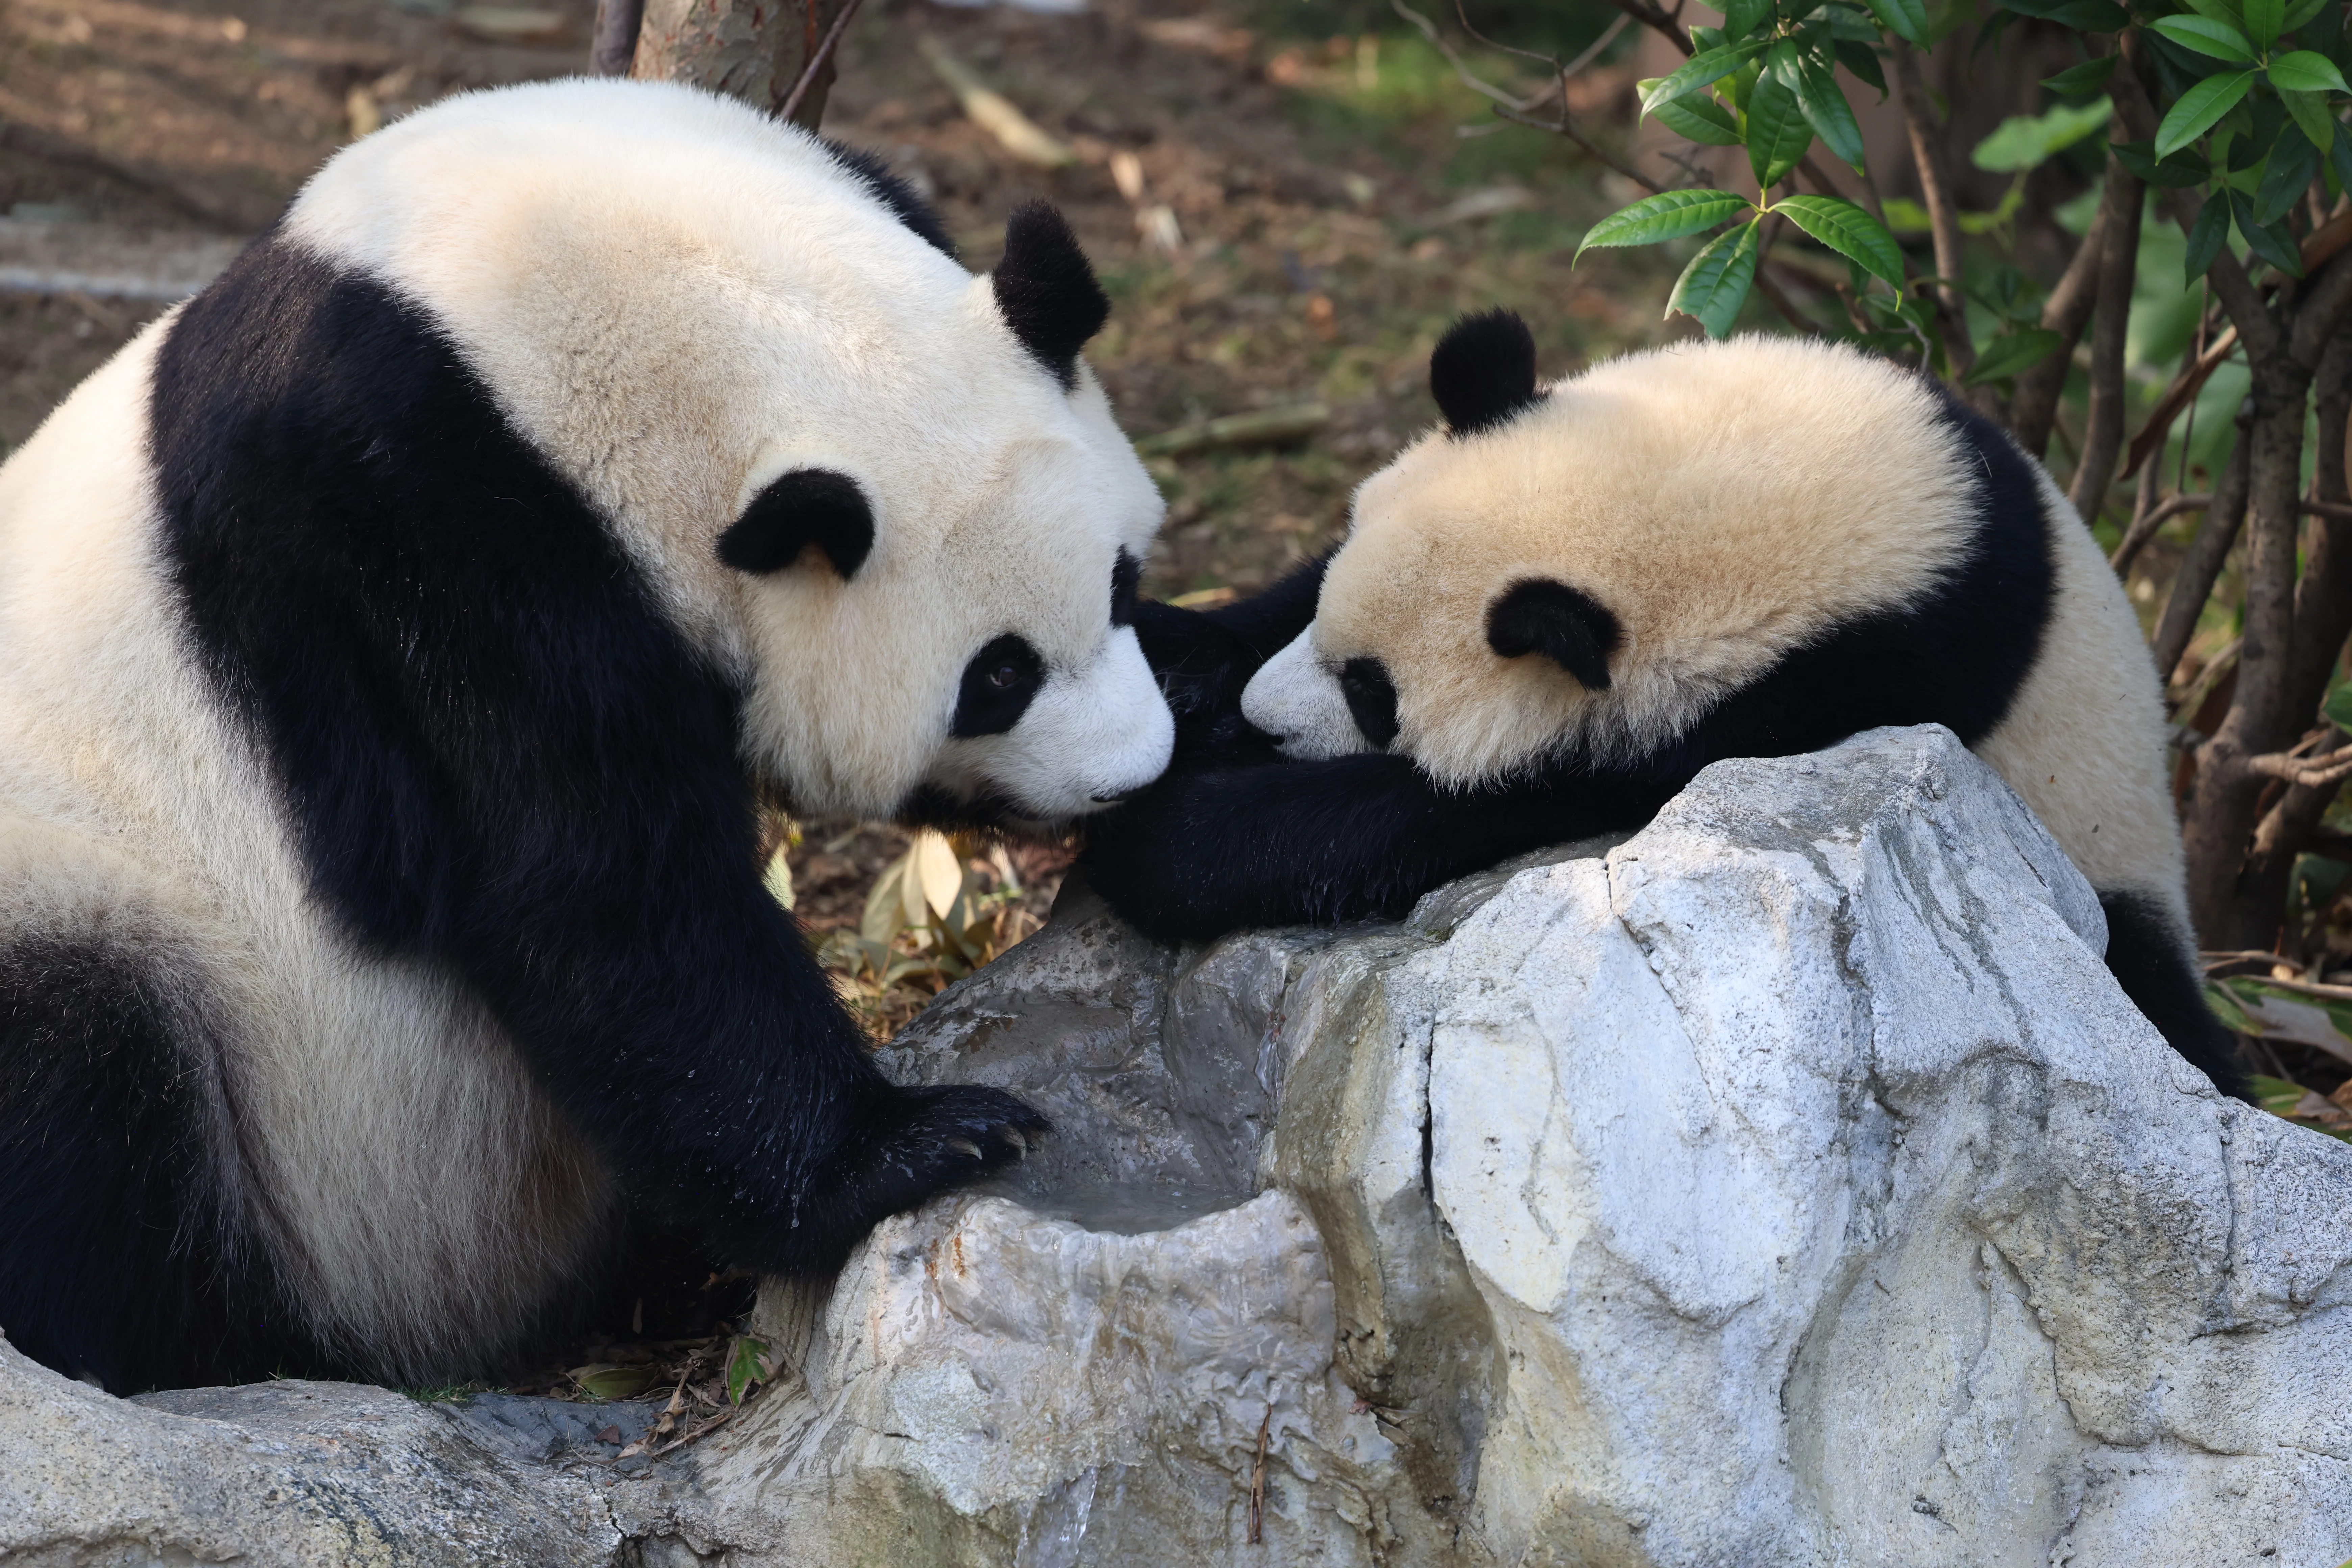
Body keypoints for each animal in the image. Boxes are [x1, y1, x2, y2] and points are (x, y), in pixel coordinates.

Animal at [0, 79, 1174, 1394]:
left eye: (1122, 583)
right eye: (999, 676)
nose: (1132, 775)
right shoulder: (415, 533)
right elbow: (588, 884)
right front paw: (918, 1146)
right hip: (122, 919)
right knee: (87, 1089)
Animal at [1089, 312, 2241, 1096]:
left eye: (1375, 697)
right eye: (1333, 573)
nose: (1265, 717)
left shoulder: (1836, 685)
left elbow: (1495, 803)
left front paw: (1175, 839)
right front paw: (1166, 665)